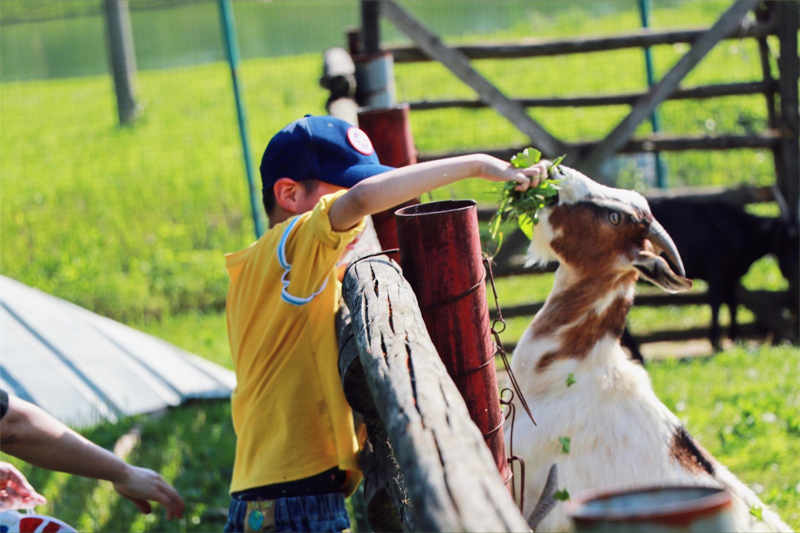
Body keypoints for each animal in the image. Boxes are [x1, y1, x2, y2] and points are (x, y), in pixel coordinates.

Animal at [624, 195, 800, 358]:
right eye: (787, 240)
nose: (792, 272)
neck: (740, 228)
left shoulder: (731, 277)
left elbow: (732, 305)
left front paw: (735, 339)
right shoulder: (716, 273)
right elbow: (716, 304)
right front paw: (717, 343)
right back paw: (638, 354)